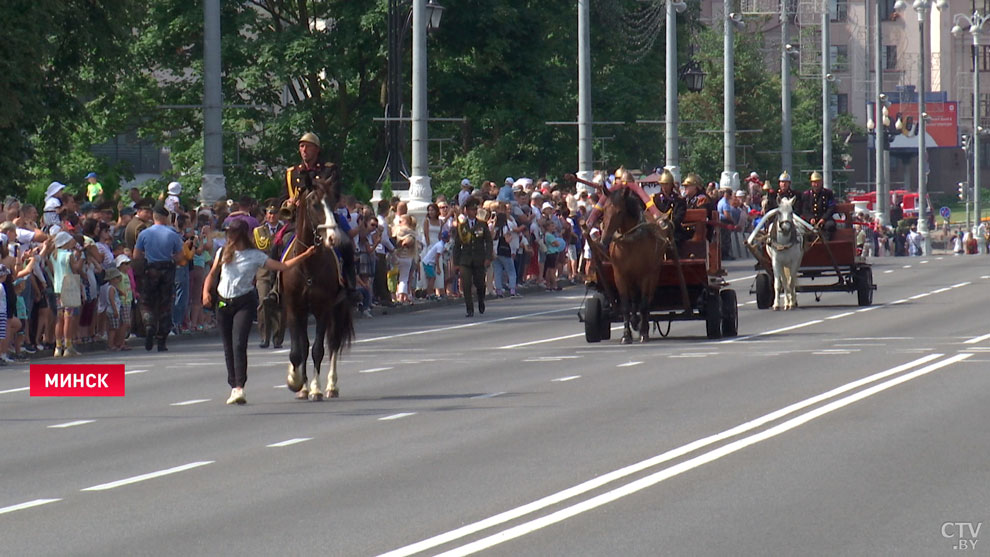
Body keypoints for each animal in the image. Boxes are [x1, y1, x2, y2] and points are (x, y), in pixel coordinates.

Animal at [280, 166, 354, 400]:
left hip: (338, 308)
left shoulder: (323, 308)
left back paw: (331, 386)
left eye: (332, 202)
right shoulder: (294, 308)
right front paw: (296, 381)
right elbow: (298, 350)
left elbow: (318, 350)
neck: (307, 266)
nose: (333, 238)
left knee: (333, 343)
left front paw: (315, 388)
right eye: (314, 204)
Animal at [604, 187, 668, 344]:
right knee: (634, 298)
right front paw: (626, 335)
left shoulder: (646, 275)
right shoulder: (620, 275)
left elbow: (644, 304)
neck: (630, 241)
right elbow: (626, 306)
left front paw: (644, 331)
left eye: (619, 211)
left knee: (647, 299)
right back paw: (635, 321)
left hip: (654, 273)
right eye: (604, 210)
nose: (605, 239)